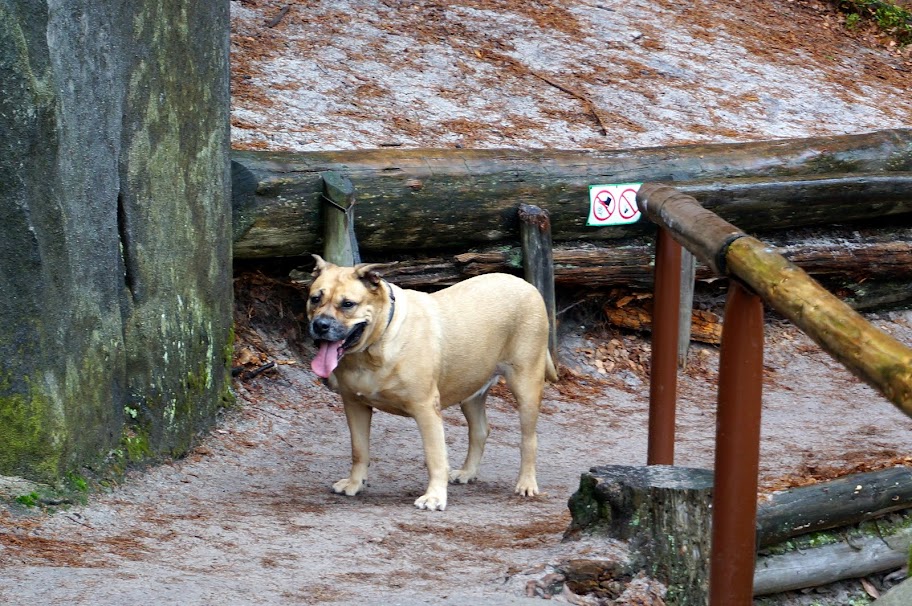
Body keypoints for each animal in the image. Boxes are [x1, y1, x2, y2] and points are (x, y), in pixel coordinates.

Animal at [308, 256, 556, 512]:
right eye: (315, 298)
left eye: (348, 304)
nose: (320, 325)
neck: (374, 346)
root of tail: (526, 285)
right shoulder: (355, 405)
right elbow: (359, 450)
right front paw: (355, 483)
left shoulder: (425, 408)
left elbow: (434, 456)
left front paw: (435, 496)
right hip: (470, 391)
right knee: (479, 430)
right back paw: (467, 472)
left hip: (525, 387)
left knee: (528, 439)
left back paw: (526, 483)